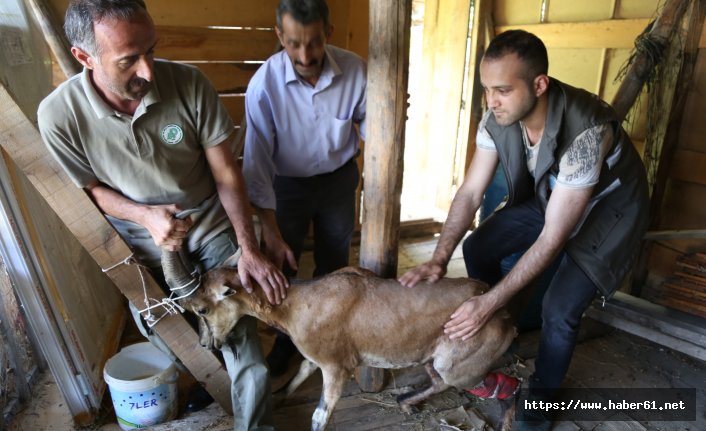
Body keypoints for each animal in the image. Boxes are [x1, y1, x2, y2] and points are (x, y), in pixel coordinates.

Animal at [179, 264, 516, 430]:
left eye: (202, 309)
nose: (207, 343)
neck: (298, 303)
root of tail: (505, 316)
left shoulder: (337, 367)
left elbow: (320, 416)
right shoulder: (315, 358)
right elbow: (296, 376)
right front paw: (277, 399)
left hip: (458, 362)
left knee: (500, 384)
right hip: (429, 356)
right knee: (438, 381)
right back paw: (405, 403)